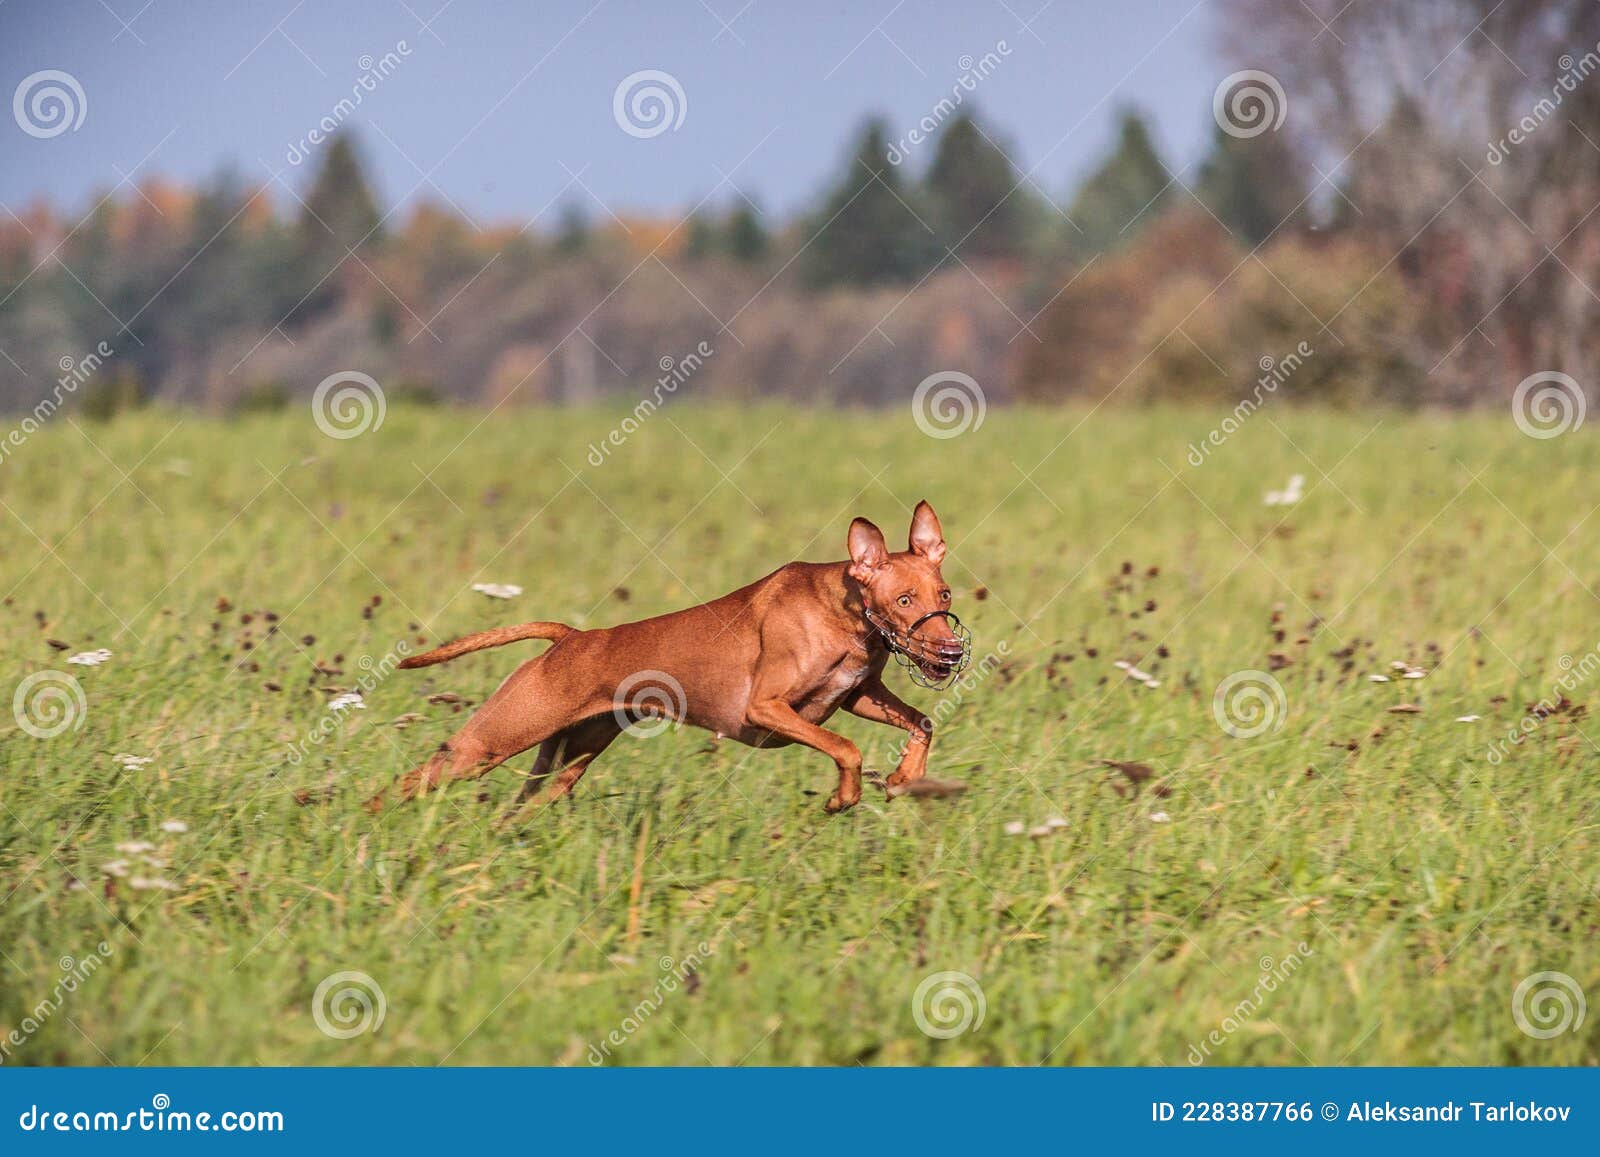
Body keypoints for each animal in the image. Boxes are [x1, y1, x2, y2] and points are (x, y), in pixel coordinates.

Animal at [368, 502, 966, 819]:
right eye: (903, 600)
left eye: (944, 595)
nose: (951, 650)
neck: (846, 614)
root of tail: (572, 638)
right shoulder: (766, 708)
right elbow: (846, 748)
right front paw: (845, 797)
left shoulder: (858, 695)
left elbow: (922, 722)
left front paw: (904, 776)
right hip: (489, 743)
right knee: (402, 784)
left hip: (567, 759)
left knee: (523, 806)